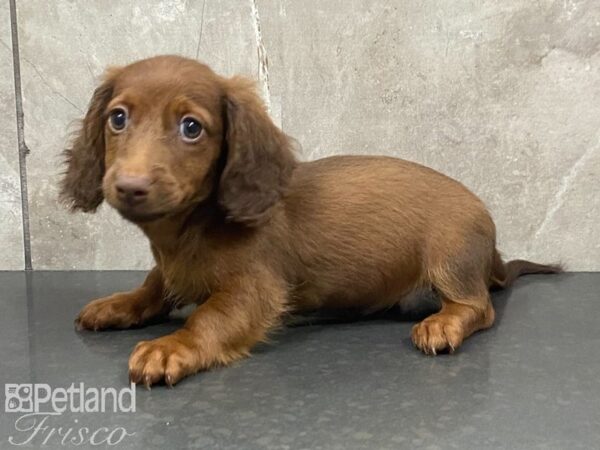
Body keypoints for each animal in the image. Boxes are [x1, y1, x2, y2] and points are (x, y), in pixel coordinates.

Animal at [61, 55, 556, 386]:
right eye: (118, 118)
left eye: (191, 127)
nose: (130, 186)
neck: (190, 230)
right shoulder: (171, 268)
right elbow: (153, 284)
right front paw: (120, 303)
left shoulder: (256, 289)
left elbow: (208, 318)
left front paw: (171, 347)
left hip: (450, 257)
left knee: (478, 306)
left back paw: (443, 322)